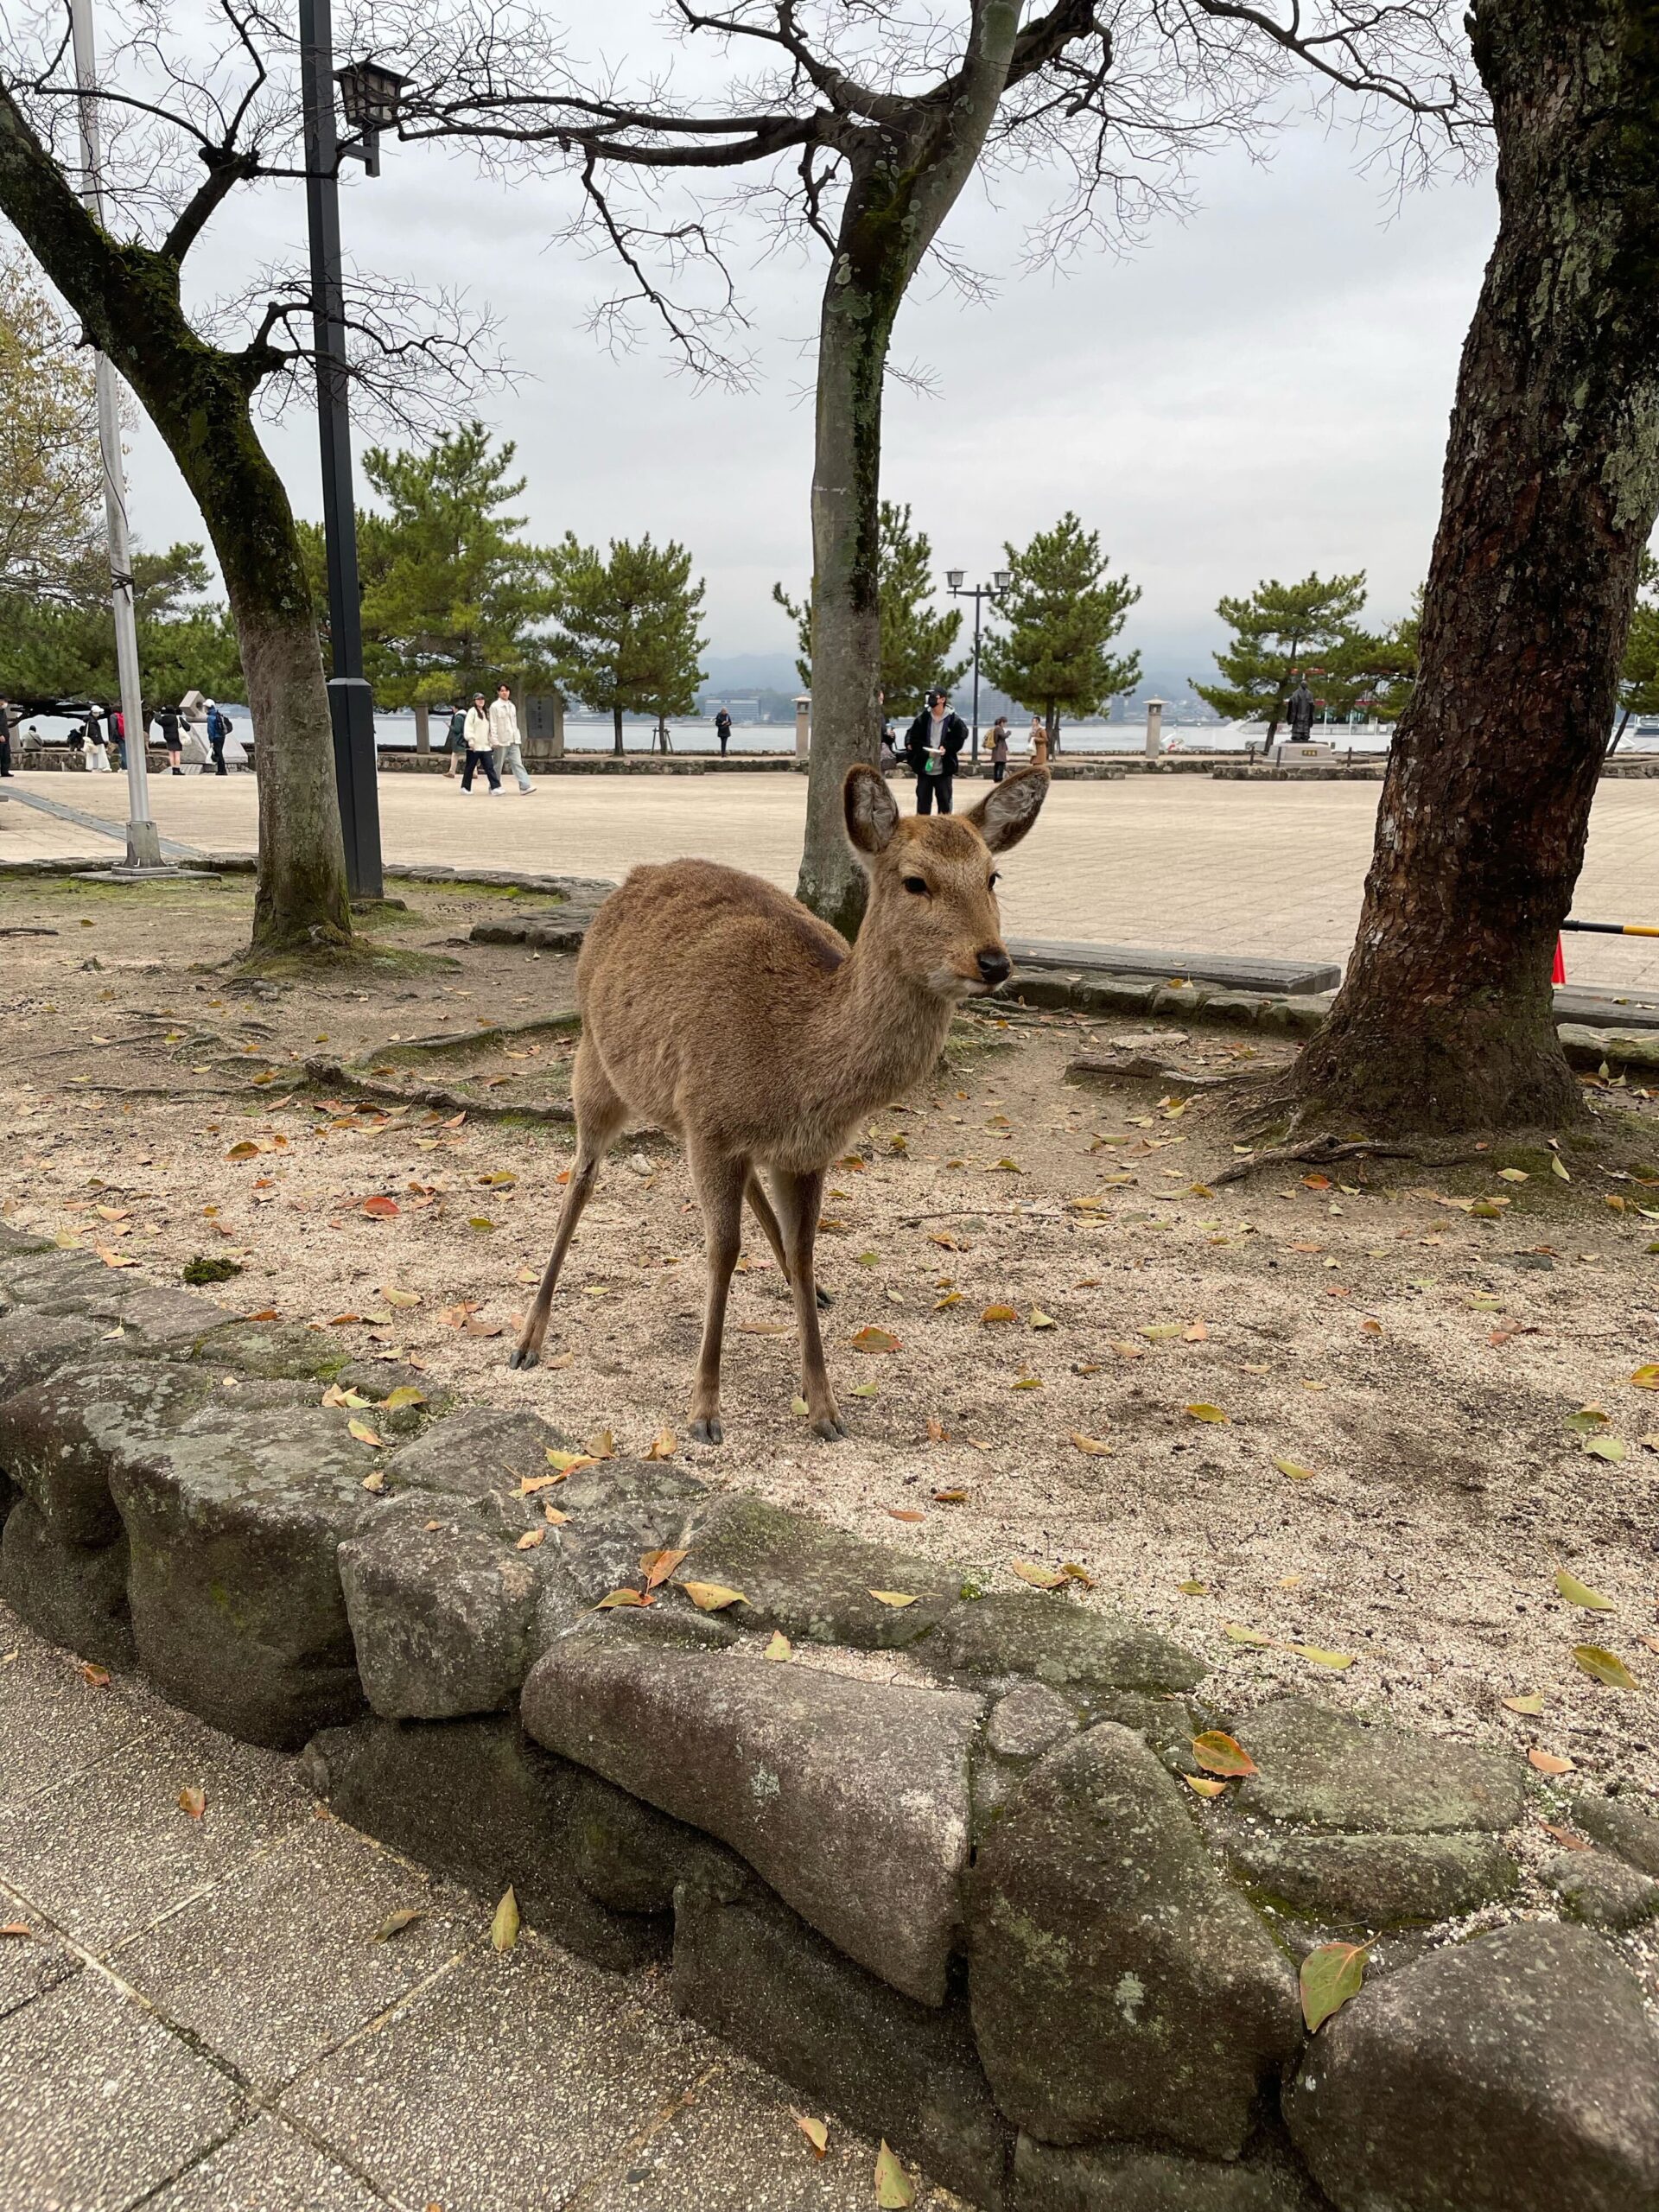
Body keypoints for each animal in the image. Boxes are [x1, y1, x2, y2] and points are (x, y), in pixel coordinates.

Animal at [511, 765, 1052, 1451]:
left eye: (992, 877)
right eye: (915, 881)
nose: (994, 961)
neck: (795, 1064)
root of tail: (632, 877)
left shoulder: (800, 1150)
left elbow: (802, 1247)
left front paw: (824, 1407)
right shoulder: (711, 1124)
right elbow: (721, 1252)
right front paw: (704, 1411)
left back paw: (813, 1293)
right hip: (595, 1064)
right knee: (579, 1178)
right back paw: (528, 1339)